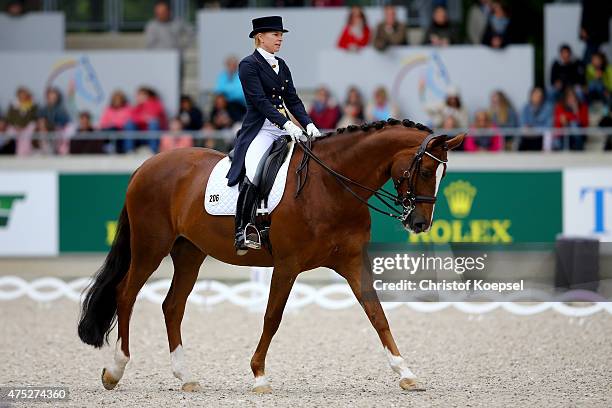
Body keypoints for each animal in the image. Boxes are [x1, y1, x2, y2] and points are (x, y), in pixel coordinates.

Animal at [77, 118, 464, 392]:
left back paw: (185, 376)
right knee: (126, 294)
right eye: (425, 171)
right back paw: (115, 370)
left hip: (189, 253)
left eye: (442, 174)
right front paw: (259, 376)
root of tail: (146, 166)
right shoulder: (287, 264)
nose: (419, 223)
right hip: (150, 246)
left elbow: (377, 315)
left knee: (172, 306)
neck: (331, 185)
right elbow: (272, 318)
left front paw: (406, 372)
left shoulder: (353, 262)